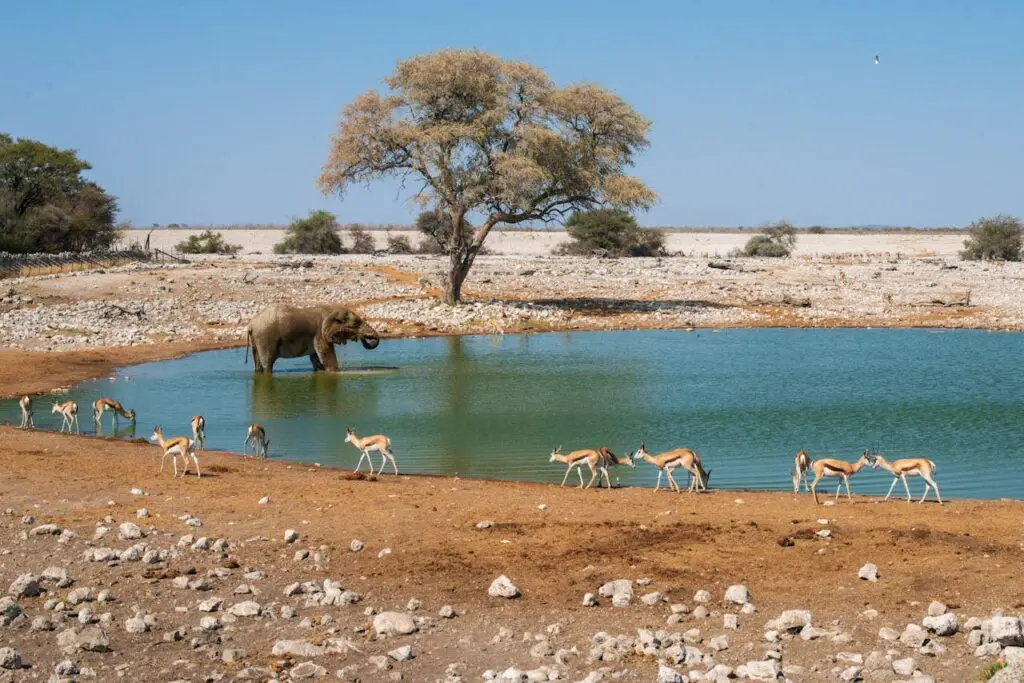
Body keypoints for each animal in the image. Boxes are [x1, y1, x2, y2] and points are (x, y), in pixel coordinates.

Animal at [245, 304, 380, 374]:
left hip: (257, 340)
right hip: (265, 337)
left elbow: (316, 358)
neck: (332, 309)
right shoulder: (320, 333)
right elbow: (327, 356)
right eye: (356, 324)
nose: (362, 337)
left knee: (258, 363)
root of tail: (251, 324)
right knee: (267, 362)